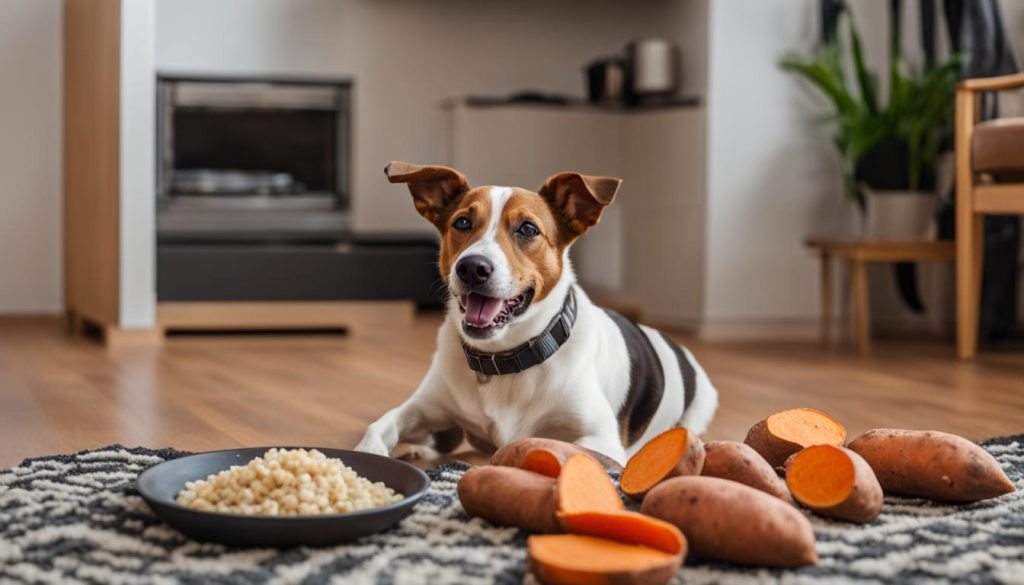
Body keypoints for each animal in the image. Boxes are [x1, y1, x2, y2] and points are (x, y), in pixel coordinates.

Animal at [356, 162, 716, 465]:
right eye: (462, 222)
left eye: (528, 229)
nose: (471, 268)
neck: (503, 359)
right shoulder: (427, 407)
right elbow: (381, 425)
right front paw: (370, 455)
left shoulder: (601, 438)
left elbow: (550, 445)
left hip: (698, 410)